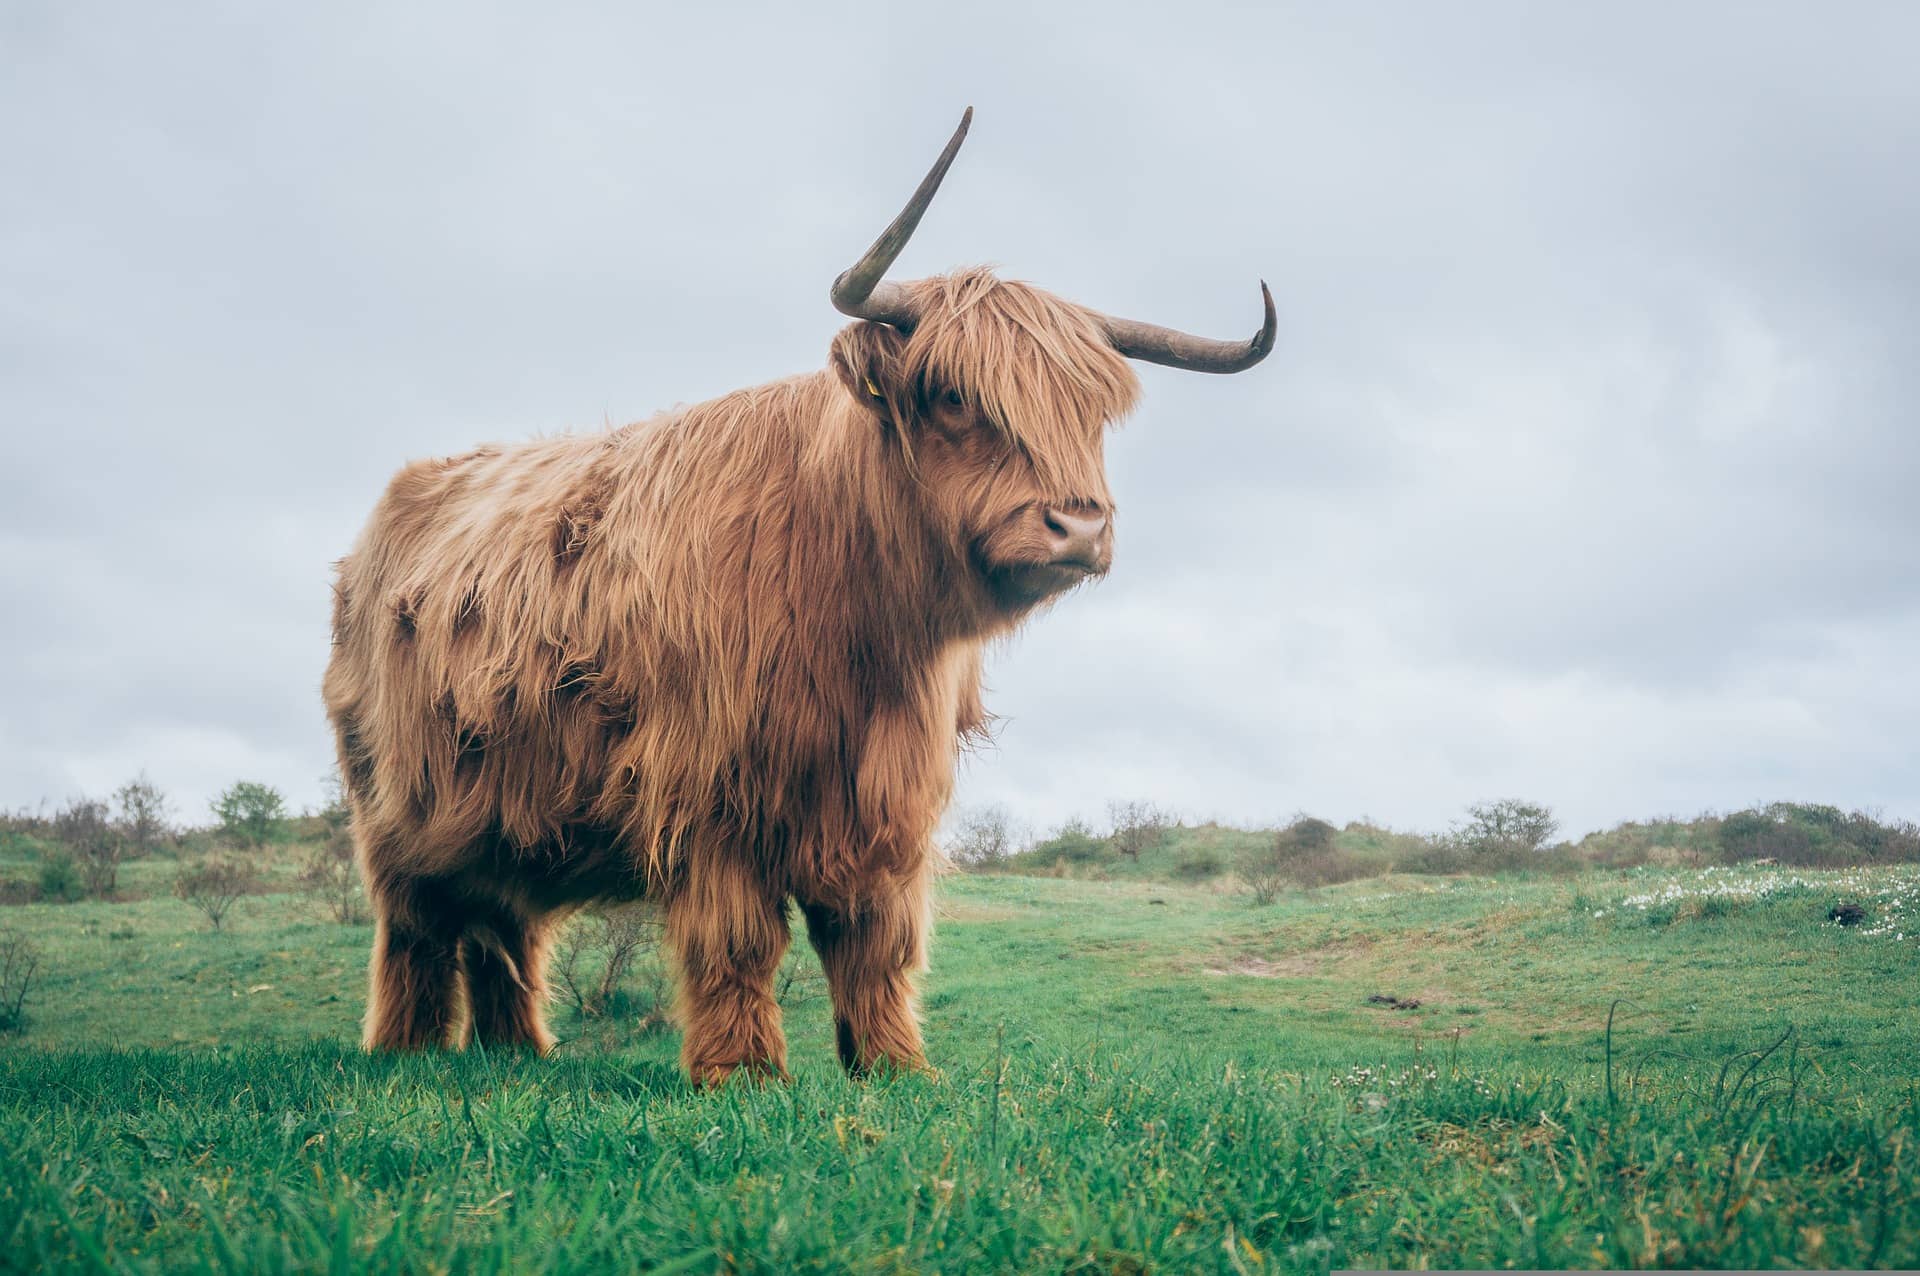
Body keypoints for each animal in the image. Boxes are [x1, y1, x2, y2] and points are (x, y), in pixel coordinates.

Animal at [326, 111, 1274, 1082]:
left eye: (1091, 413)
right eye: (952, 395)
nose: (1078, 527)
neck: (861, 629)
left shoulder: (888, 803)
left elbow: (875, 942)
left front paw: (895, 1067)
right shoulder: (710, 790)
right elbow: (739, 941)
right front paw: (742, 1074)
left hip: (500, 814)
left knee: (502, 928)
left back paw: (517, 1053)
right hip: (394, 808)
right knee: (417, 929)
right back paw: (406, 1051)